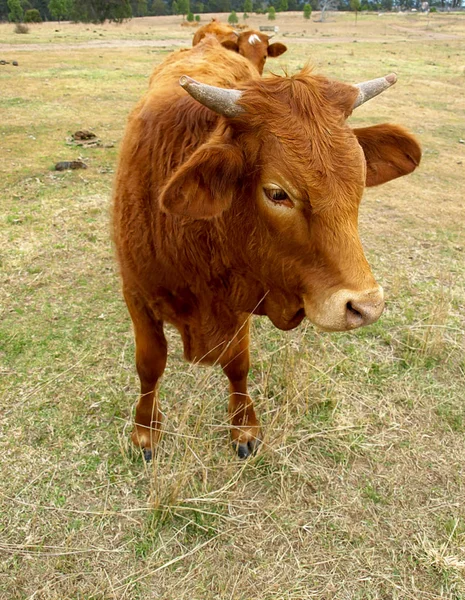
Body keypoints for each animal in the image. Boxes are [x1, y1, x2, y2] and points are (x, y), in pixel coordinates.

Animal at [113, 37, 420, 460]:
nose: (365, 306)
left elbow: (238, 363)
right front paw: (145, 430)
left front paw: (243, 426)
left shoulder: (243, 296)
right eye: (277, 193)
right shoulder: (137, 295)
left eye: (359, 179)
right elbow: (149, 364)